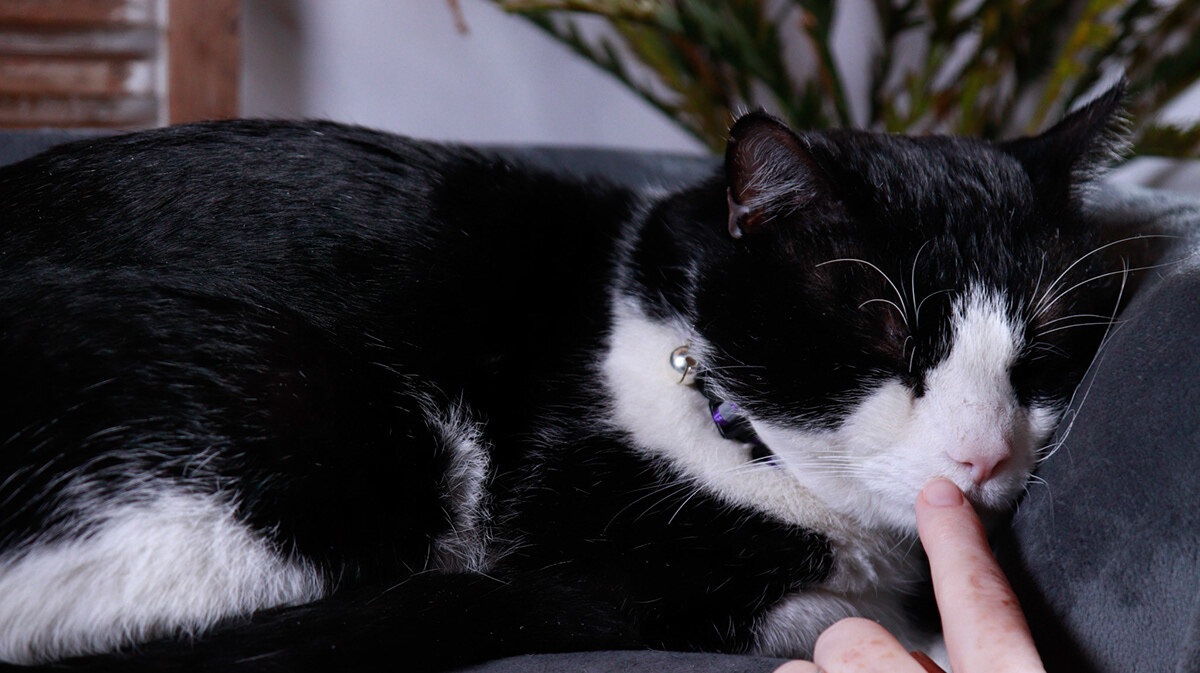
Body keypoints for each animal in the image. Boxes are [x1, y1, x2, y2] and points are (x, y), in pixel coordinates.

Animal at [0, 81, 1128, 667]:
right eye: (884, 333)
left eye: (1043, 349)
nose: (984, 457)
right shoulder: (586, 545)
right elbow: (807, 610)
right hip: (324, 424)